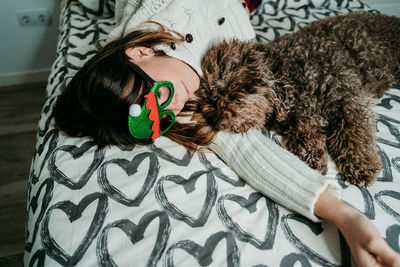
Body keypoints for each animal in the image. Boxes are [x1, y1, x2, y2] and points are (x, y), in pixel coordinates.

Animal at [197, 11, 400, 187]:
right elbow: (302, 133)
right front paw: (312, 154)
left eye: (233, 85)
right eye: (210, 98)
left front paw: (360, 165)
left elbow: (354, 132)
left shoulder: (348, 101)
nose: (218, 122)